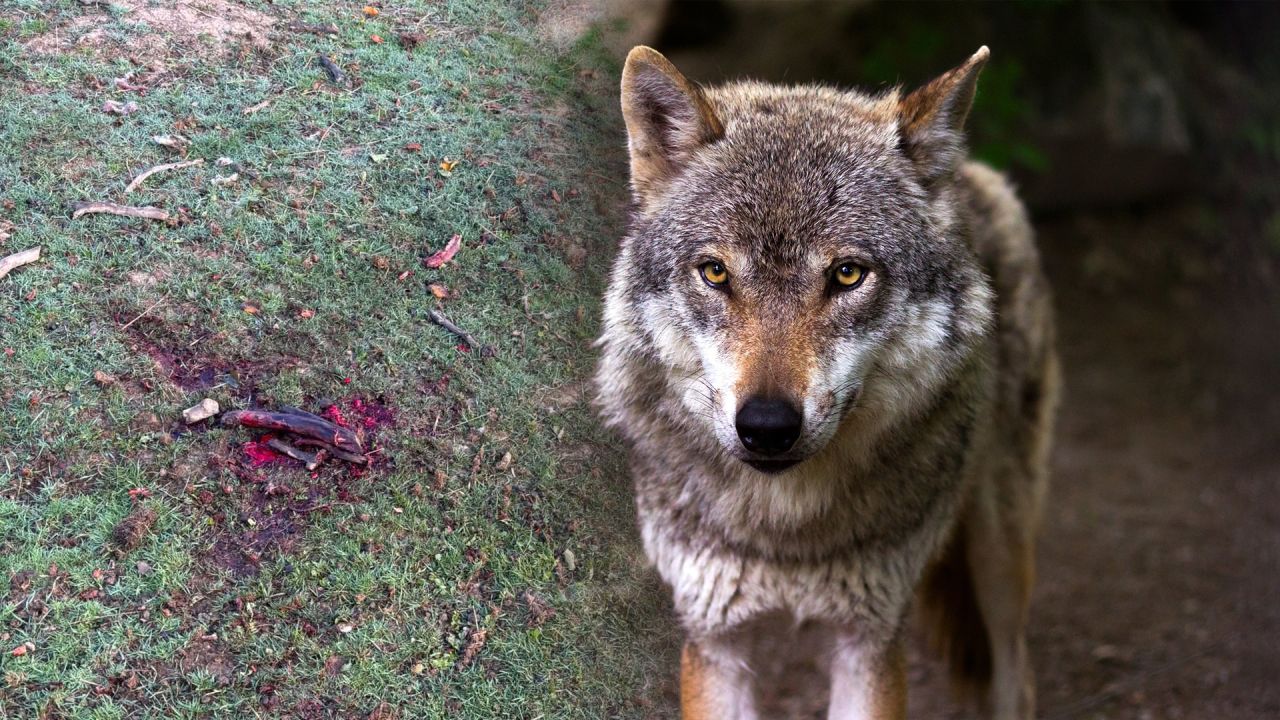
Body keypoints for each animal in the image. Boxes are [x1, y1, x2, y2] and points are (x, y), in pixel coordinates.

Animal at [594, 45, 1059, 719]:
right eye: (715, 272)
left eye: (846, 274)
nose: (766, 427)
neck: (786, 532)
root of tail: (969, 173)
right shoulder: (714, 639)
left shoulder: (869, 640)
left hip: (1001, 556)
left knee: (1016, 674)